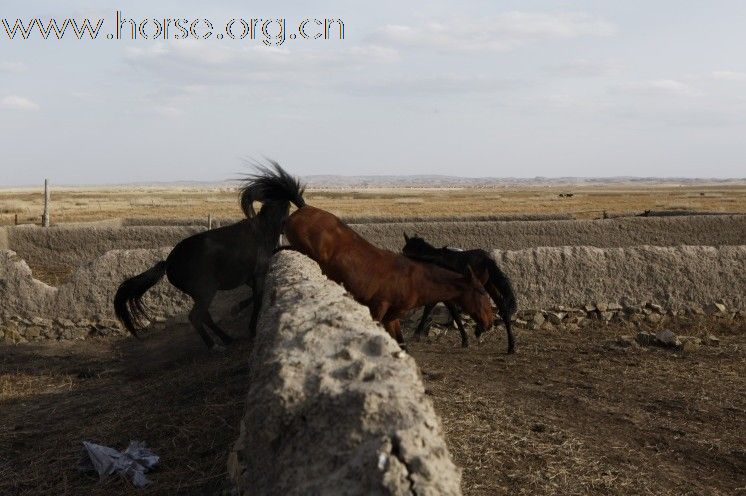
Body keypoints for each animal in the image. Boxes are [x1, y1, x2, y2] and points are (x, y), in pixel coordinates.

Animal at [112, 164, 300, 348]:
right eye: (289, 204)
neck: (262, 230)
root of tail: (169, 263)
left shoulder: (248, 278)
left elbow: (253, 296)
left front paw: (237, 309)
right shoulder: (259, 274)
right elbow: (258, 299)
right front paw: (251, 329)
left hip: (201, 294)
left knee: (205, 316)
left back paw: (226, 338)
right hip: (206, 291)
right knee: (195, 317)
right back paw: (213, 345)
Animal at [241, 164, 492, 344]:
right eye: (482, 292)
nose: (489, 323)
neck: (414, 278)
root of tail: (303, 207)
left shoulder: (393, 318)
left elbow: (402, 344)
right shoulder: (378, 308)